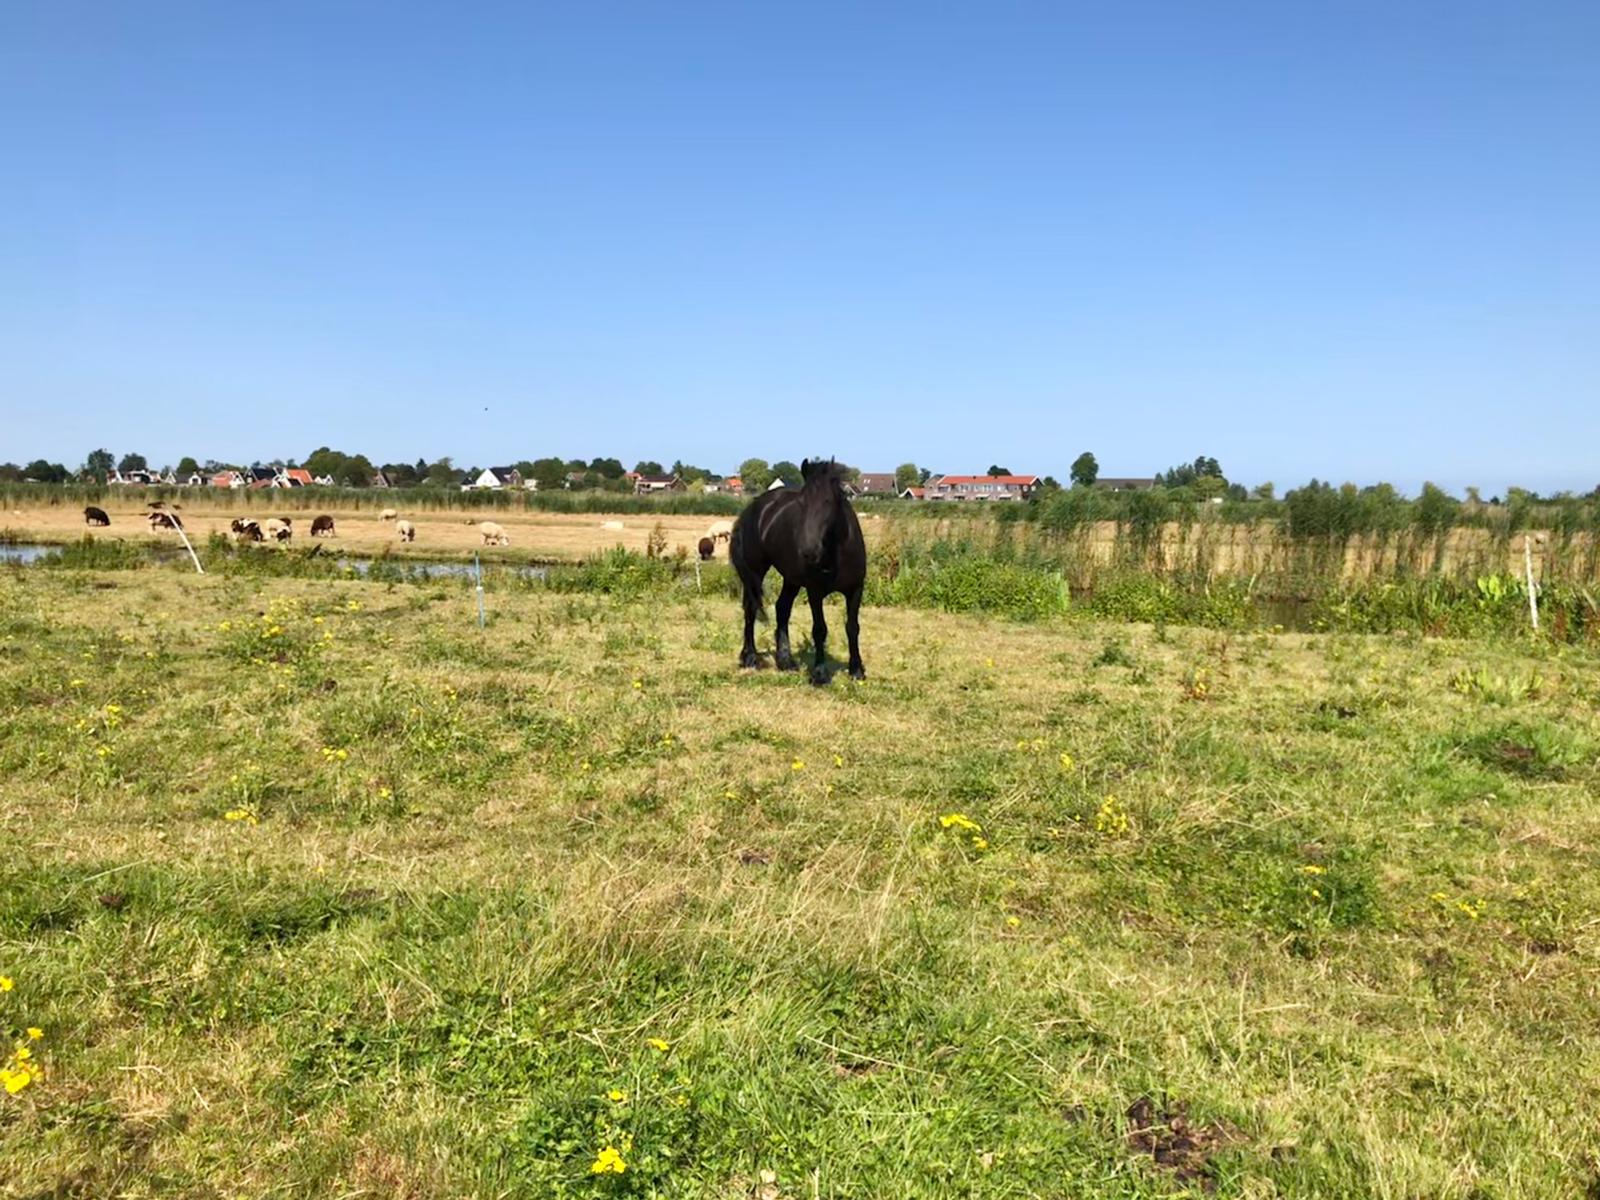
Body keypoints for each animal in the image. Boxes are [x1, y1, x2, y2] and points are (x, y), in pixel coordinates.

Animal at [729, 458, 866, 685]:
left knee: (782, 608)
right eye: (802, 503)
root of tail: (754, 508)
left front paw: (856, 670)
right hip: (756, 571)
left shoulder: (855, 589)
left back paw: (785, 660)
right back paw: (750, 657)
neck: (837, 553)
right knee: (751, 608)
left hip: (791, 578)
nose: (809, 551)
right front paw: (820, 673)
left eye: (828, 501)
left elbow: (852, 627)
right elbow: (819, 629)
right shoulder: (815, 592)